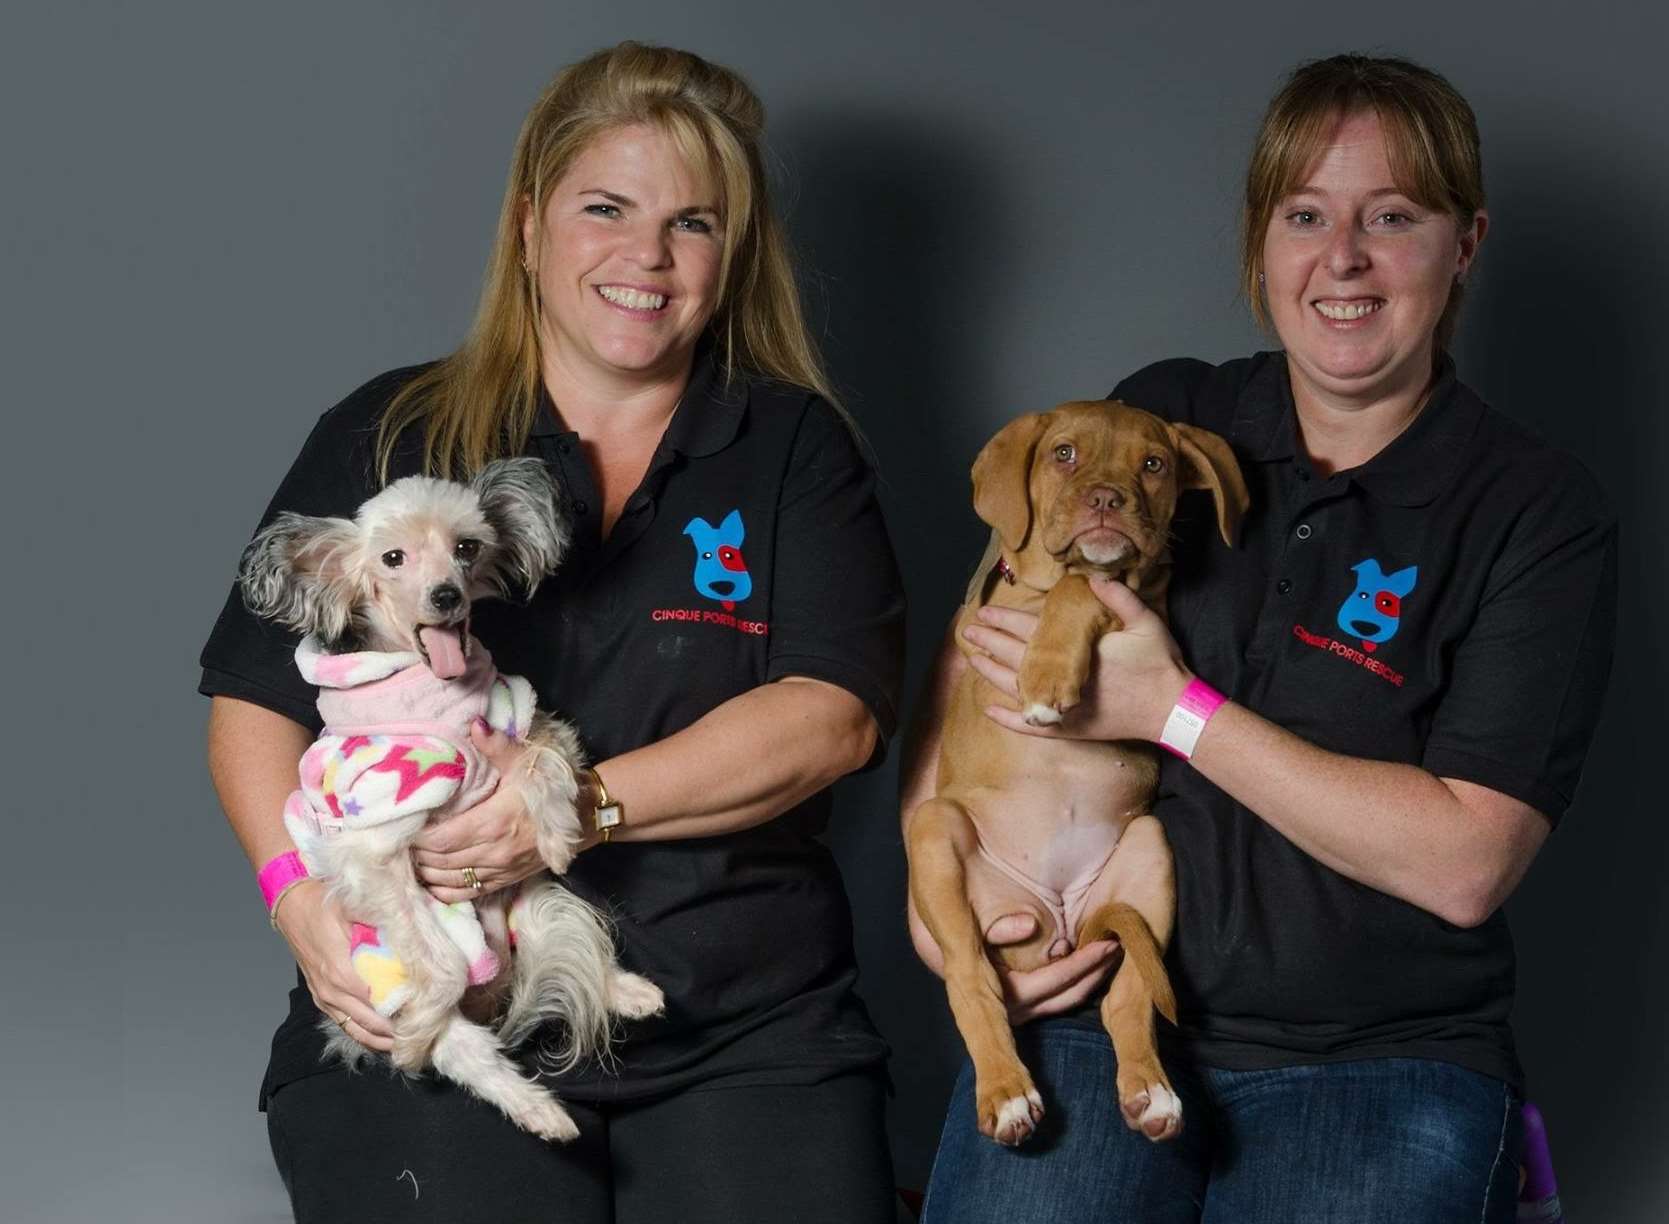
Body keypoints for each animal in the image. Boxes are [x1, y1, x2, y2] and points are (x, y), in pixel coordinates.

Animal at [242, 454, 657, 1142]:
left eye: (467, 548)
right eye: (392, 558)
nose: (445, 595)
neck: (438, 699)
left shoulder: (526, 719)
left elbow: (548, 766)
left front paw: (555, 833)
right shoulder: (376, 852)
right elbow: (440, 965)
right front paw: (415, 1037)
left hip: (529, 902)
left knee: (564, 932)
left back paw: (625, 990)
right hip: (389, 969)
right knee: (467, 1049)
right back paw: (534, 1106)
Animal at [907, 399, 1248, 1148]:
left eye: (1153, 464)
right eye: (1063, 454)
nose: (1106, 501)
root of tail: (1059, 918)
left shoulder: (1139, 600)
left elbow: (1080, 584)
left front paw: (1045, 670)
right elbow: (1075, 580)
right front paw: (1043, 678)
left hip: (1149, 846)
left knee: (1127, 997)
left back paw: (1151, 1093)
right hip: (935, 829)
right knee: (970, 979)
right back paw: (1007, 1093)